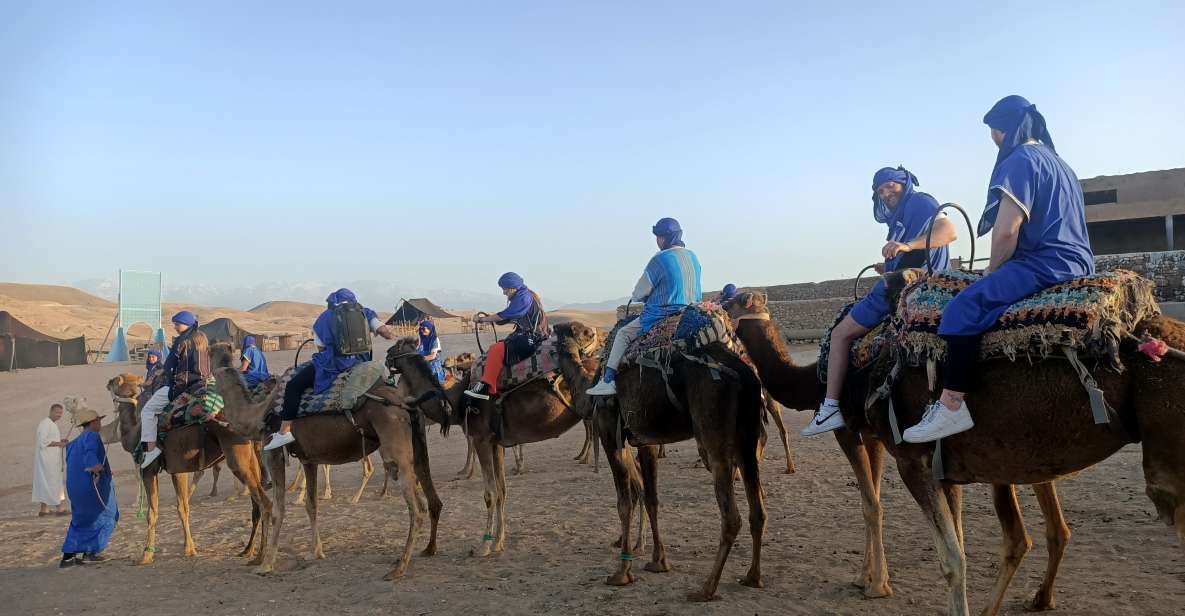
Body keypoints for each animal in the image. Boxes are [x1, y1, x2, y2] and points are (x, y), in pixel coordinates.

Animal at [103, 371, 274, 566]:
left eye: (114, 381)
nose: (107, 383)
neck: (134, 432)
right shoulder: (178, 470)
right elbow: (183, 507)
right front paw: (190, 548)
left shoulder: (149, 470)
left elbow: (152, 512)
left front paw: (146, 555)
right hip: (253, 457)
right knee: (256, 504)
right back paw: (247, 550)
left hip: (238, 459)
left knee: (264, 502)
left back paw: (260, 557)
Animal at [216, 341, 445, 582]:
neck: (257, 414)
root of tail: (405, 402)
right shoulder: (308, 459)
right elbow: (311, 504)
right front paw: (315, 552)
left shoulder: (272, 451)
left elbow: (278, 510)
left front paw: (266, 565)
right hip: (416, 441)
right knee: (428, 496)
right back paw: (426, 550)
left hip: (394, 445)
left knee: (415, 506)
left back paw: (399, 568)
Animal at [592, 317, 767, 601]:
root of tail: (745, 372)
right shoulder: (647, 440)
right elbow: (650, 498)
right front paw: (658, 561)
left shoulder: (610, 433)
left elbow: (624, 503)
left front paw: (622, 572)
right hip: (747, 440)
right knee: (758, 511)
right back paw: (752, 577)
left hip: (714, 433)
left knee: (731, 516)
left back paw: (706, 588)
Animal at [720, 285, 1185, 616]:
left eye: (734, 300)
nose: (713, 306)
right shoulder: (925, 455)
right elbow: (935, 528)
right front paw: (869, 580)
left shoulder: (897, 451)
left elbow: (932, 545)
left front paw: (874, 585)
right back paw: (1039, 598)